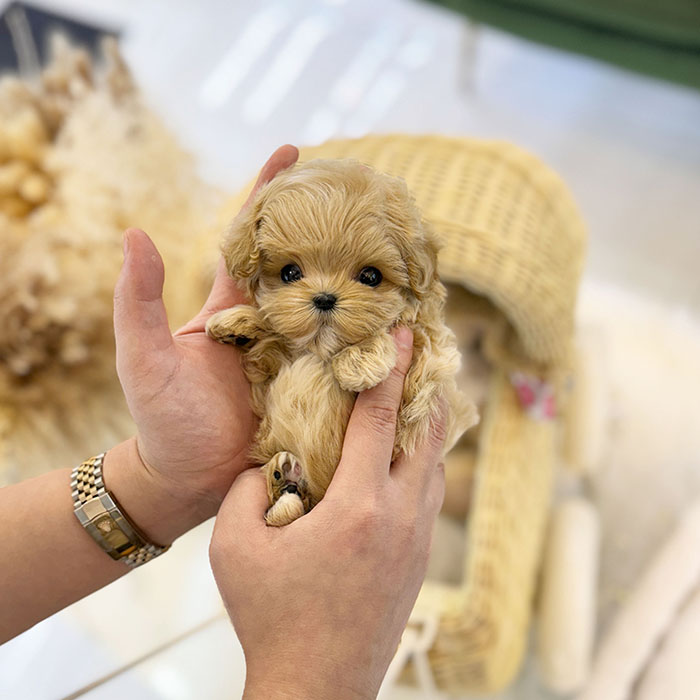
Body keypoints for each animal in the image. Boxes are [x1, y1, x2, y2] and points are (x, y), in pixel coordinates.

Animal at [205, 160, 478, 524]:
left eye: (371, 276)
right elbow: (277, 332)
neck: (321, 351)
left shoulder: (430, 376)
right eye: (290, 273)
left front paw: (360, 360)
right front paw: (238, 322)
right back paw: (282, 481)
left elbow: (412, 336)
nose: (324, 298)